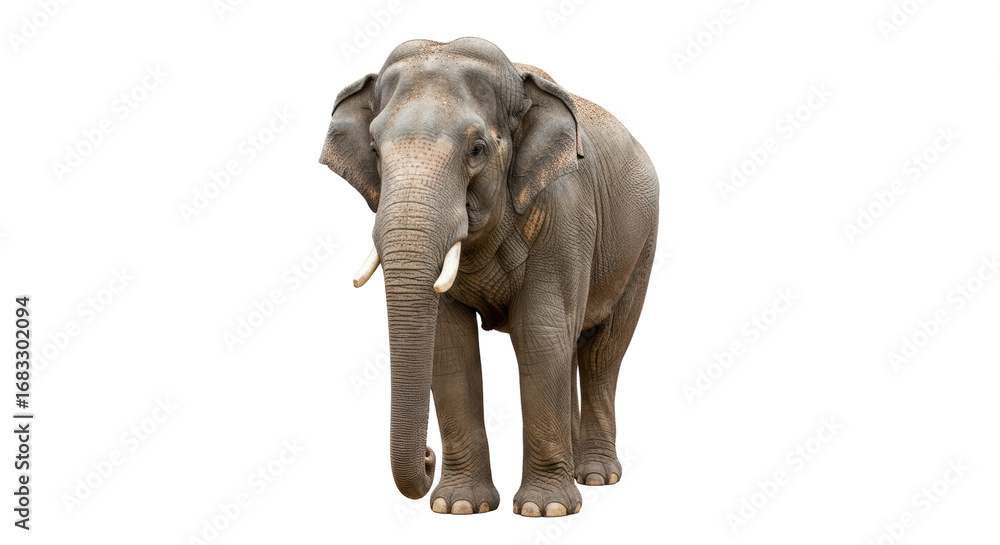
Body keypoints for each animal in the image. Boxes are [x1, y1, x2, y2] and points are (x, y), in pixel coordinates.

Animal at [319, 37, 658, 517]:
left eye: (477, 149)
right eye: (374, 149)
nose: (428, 457)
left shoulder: (564, 211)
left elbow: (539, 332)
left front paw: (544, 510)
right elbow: (450, 343)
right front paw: (460, 507)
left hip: (641, 242)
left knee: (601, 351)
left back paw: (597, 478)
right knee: (574, 344)